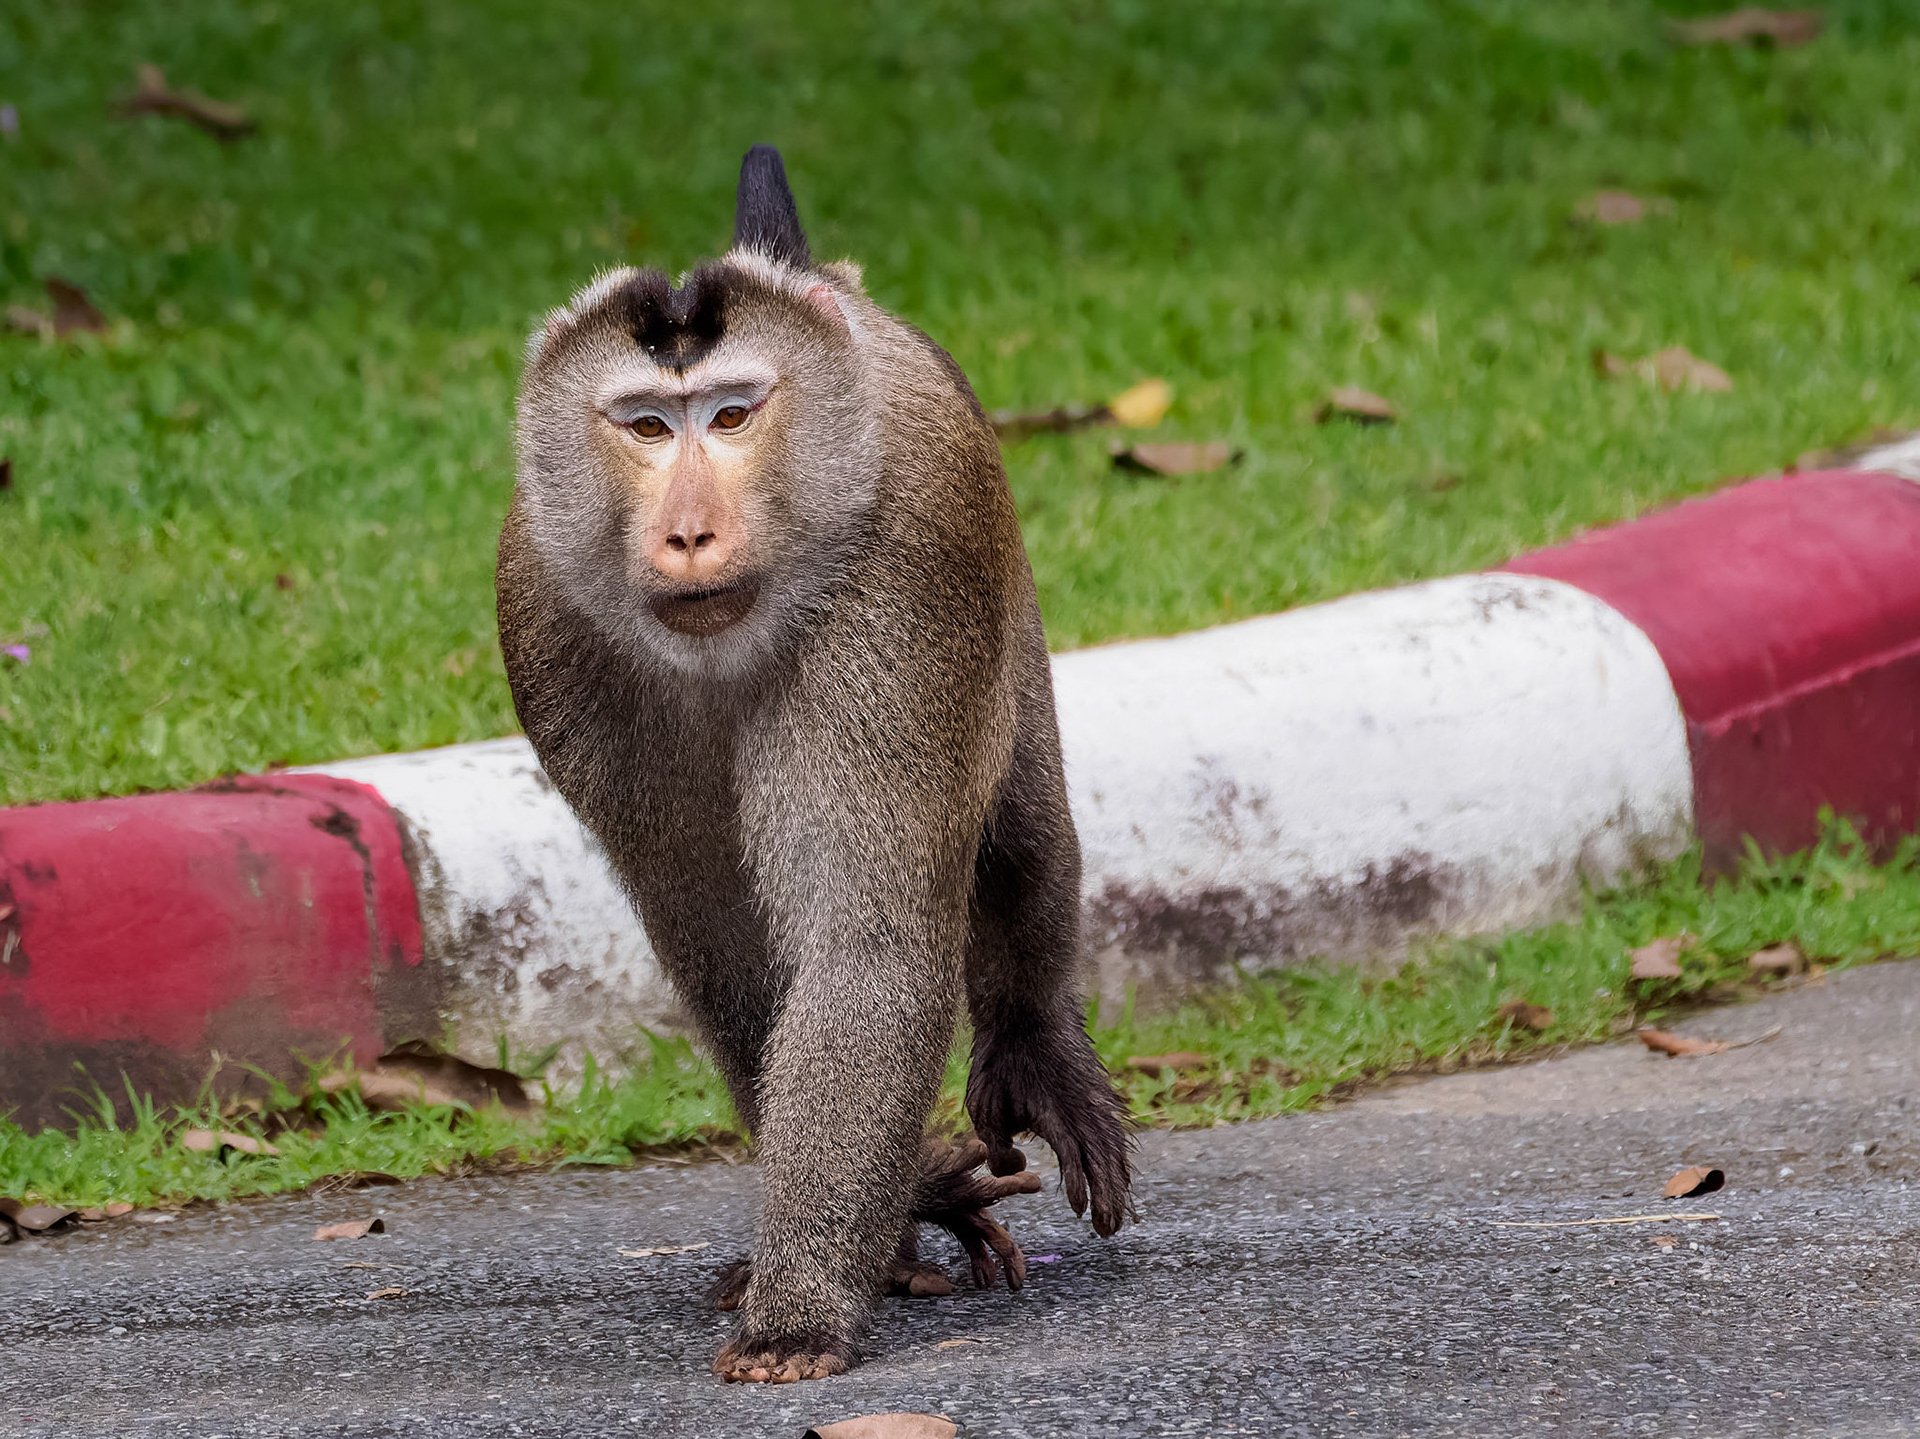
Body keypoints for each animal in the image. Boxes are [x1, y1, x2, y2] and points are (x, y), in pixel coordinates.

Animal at [496, 145, 1131, 1384]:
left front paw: (799, 1310)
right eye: (647, 426)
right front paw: (898, 1212)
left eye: (735, 414)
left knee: (1024, 828)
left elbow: (867, 942)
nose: (689, 531)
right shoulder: (549, 622)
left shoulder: (903, 591)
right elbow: (724, 948)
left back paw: (1035, 1035)